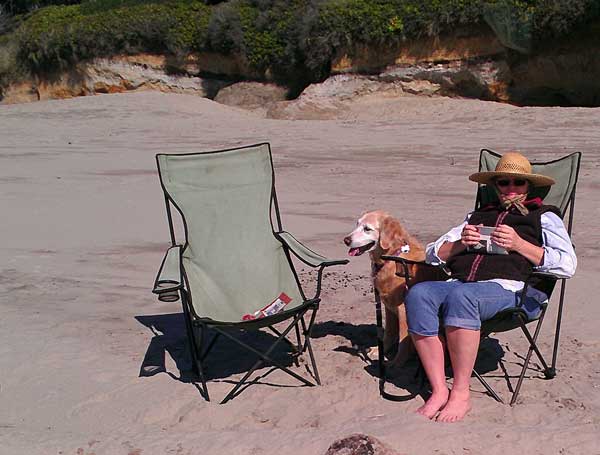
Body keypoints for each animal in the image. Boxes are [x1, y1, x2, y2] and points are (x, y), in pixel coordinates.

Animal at [344, 212, 442, 368]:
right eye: (357, 224)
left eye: (367, 229)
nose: (346, 240)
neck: (391, 257)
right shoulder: (388, 307)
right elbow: (388, 333)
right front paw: (379, 351)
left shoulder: (403, 309)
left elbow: (403, 340)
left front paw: (396, 363)